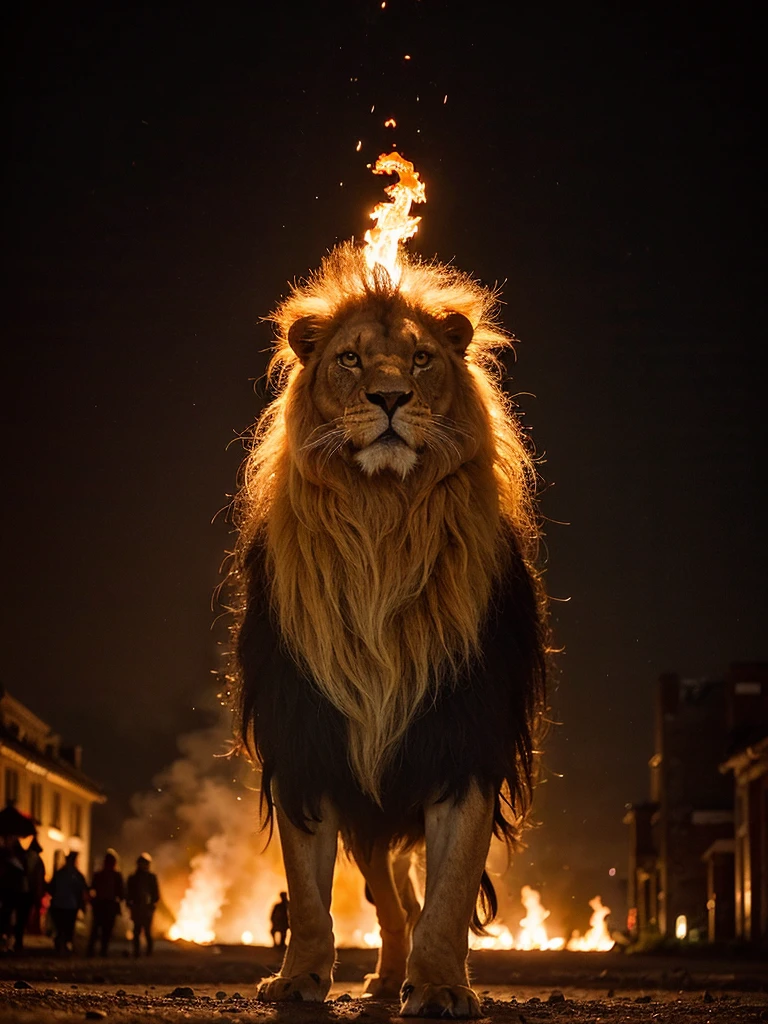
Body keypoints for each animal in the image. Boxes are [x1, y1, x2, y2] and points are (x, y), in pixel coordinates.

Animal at [228, 241, 548, 1015]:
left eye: (422, 358)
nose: (390, 398)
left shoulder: (466, 741)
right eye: (350, 359)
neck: (382, 526)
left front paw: (439, 986)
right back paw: (384, 974)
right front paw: (299, 978)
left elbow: (451, 891)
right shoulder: (306, 739)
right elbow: (309, 892)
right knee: (390, 900)